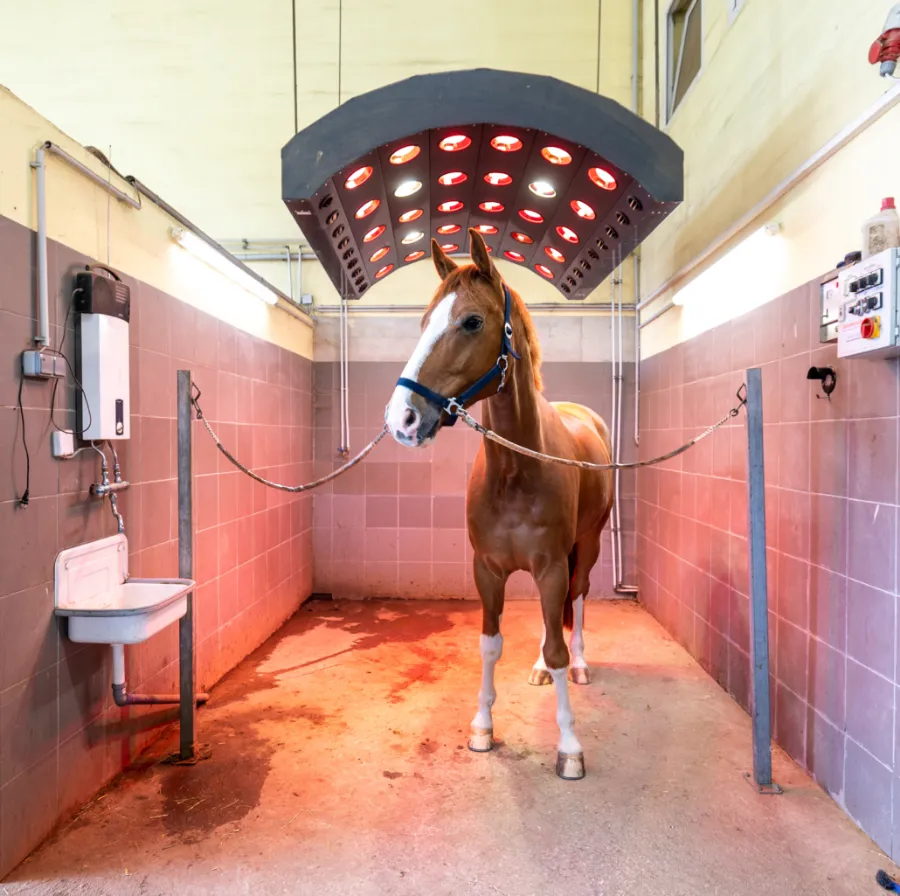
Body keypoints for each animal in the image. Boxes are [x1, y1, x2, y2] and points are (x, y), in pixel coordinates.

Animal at [385, 229, 614, 780]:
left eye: (472, 321)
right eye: (424, 322)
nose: (402, 418)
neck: (517, 470)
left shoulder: (551, 567)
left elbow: (557, 642)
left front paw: (569, 745)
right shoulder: (487, 569)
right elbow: (491, 645)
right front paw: (482, 727)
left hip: (588, 546)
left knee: (577, 603)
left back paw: (579, 665)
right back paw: (537, 669)